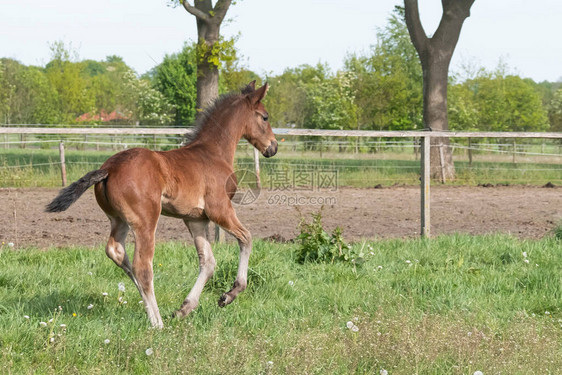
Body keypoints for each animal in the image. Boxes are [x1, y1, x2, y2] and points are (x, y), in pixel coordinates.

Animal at [46, 82, 276, 328]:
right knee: (142, 266)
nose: (273, 147)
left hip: (119, 220)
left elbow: (208, 262)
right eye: (265, 117)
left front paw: (184, 309)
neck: (213, 153)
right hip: (146, 220)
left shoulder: (195, 219)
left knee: (117, 252)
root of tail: (108, 168)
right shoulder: (219, 210)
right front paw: (229, 294)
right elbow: (247, 238)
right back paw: (157, 323)